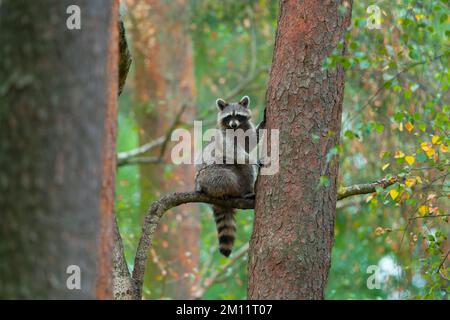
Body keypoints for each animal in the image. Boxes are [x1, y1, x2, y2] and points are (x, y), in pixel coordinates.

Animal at [195, 95, 258, 258]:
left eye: (238, 116)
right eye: (229, 116)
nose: (233, 124)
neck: (236, 128)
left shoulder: (246, 128)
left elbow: (250, 144)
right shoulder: (225, 138)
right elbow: (236, 151)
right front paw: (253, 158)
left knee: (246, 170)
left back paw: (248, 190)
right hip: (209, 176)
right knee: (227, 176)